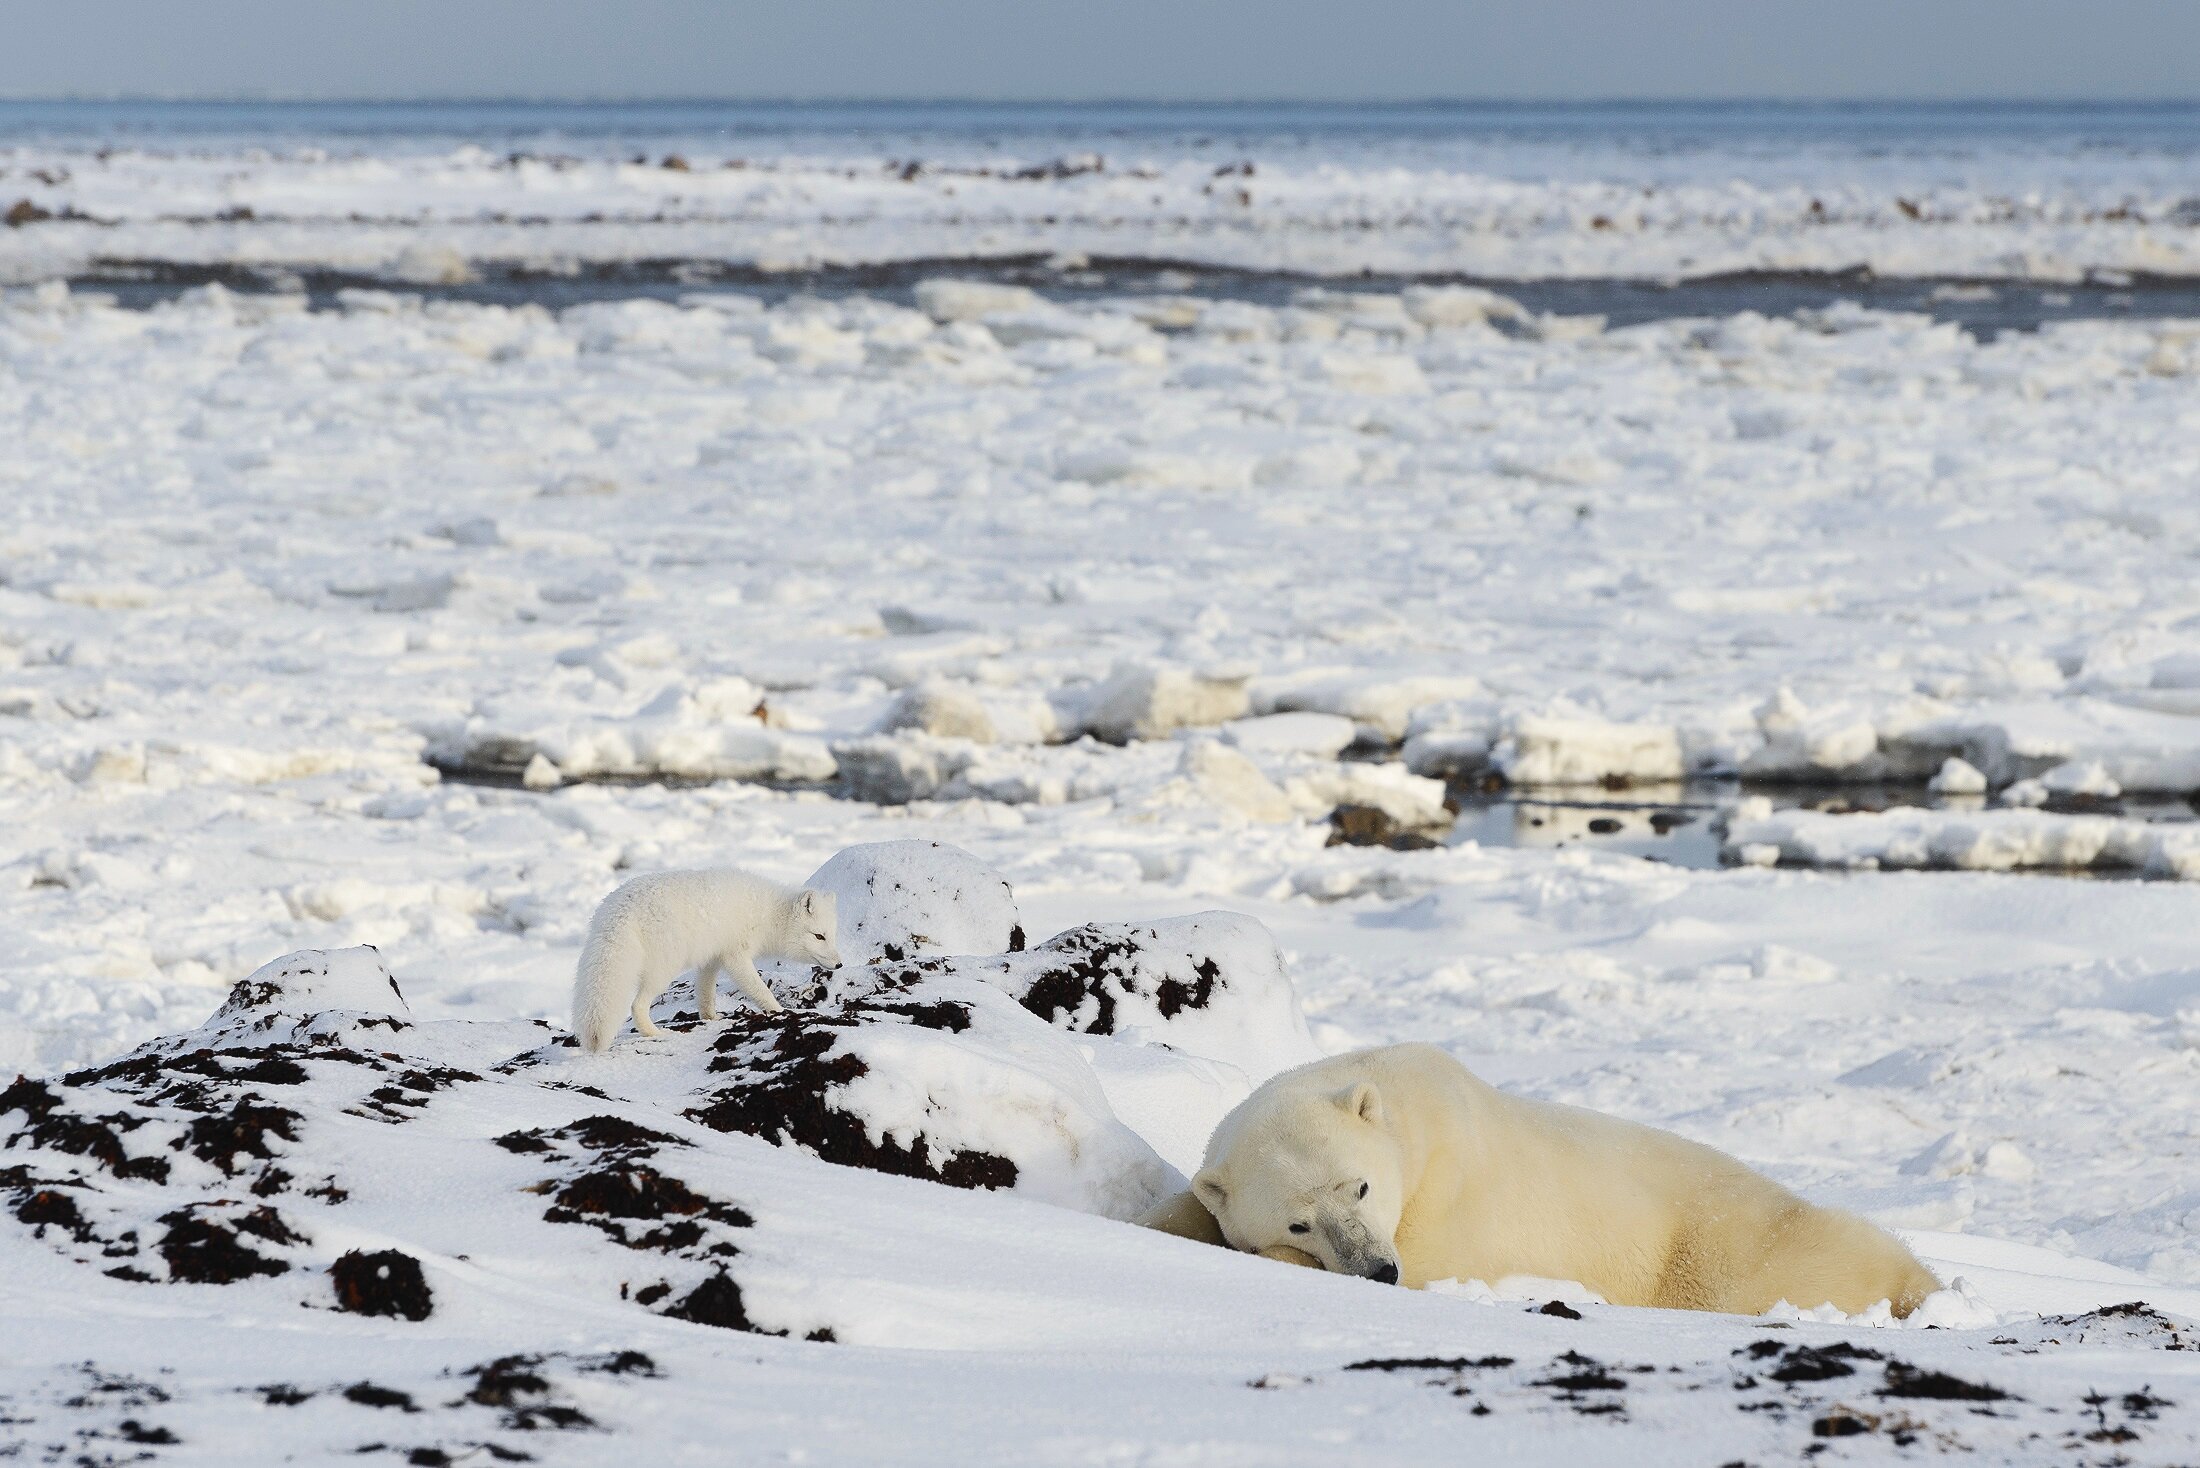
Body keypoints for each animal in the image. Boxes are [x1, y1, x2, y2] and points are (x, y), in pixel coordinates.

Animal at [567, 867, 840, 1052]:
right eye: (819, 936)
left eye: (831, 936)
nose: (839, 964)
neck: (770, 914)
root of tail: (618, 910)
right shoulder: (736, 956)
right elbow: (760, 990)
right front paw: (781, 1013)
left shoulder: (712, 960)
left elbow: (706, 993)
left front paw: (711, 1018)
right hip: (664, 969)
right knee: (637, 1005)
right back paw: (655, 1032)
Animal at [1144, 1043, 1936, 1320]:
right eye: (1298, 1220)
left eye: (1359, 1188)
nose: (1376, 1270)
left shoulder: (1452, 1196)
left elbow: (1438, 1262)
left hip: (1725, 1246)